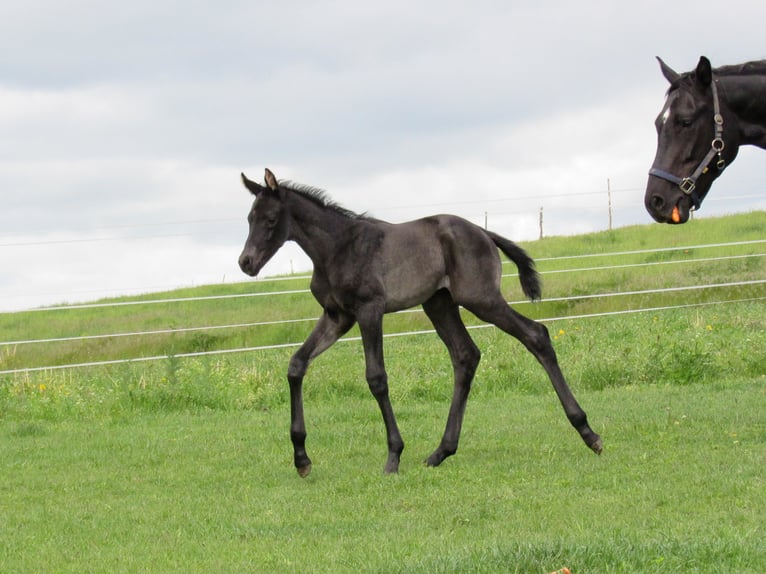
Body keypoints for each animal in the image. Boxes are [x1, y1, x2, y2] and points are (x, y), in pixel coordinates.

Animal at [238, 168, 602, 476]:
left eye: (270, 219)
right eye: (249, 218)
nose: (246, 262)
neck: (337, 248)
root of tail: (483, 232)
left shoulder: (369, 310)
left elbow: (376, 378)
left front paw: (393, 456)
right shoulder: (337, 316)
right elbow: (296, 365)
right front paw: (301, 459)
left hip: (481, 298)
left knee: (535, 334)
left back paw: (589, 433)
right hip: (439, 303)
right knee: (466, 355)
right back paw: (441, 451)